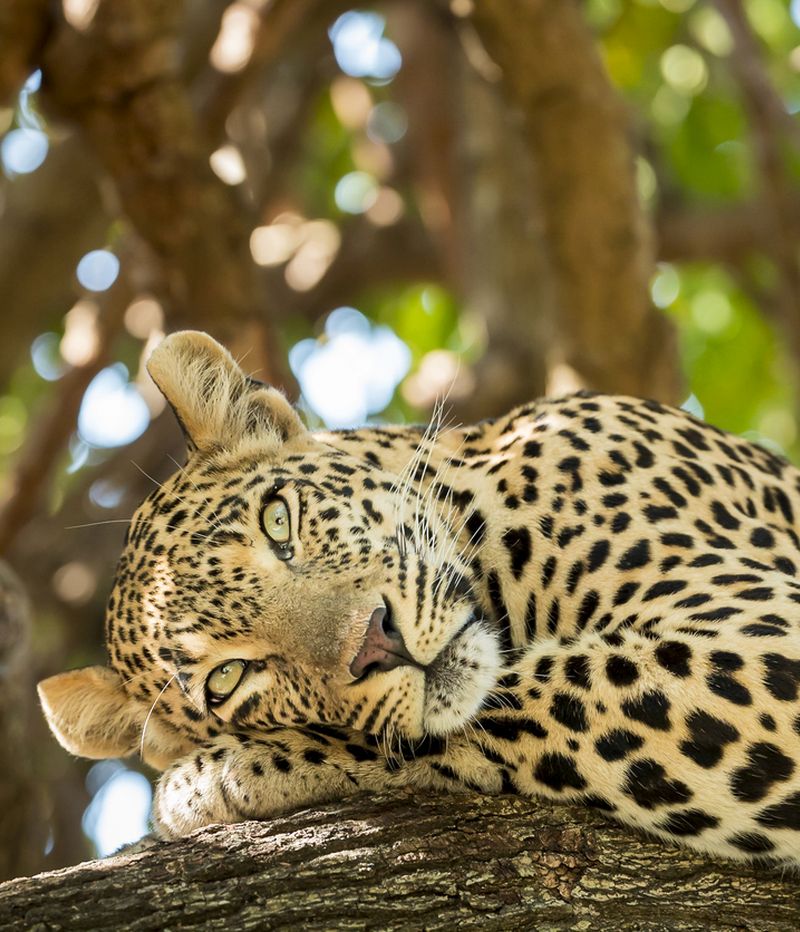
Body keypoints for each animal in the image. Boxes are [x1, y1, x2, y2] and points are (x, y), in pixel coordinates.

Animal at [39, 330, 800, 866]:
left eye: (279, 520)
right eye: (227, 678)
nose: (378, 642)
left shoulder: (762, 638)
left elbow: (535, 688)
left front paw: (213, 778)